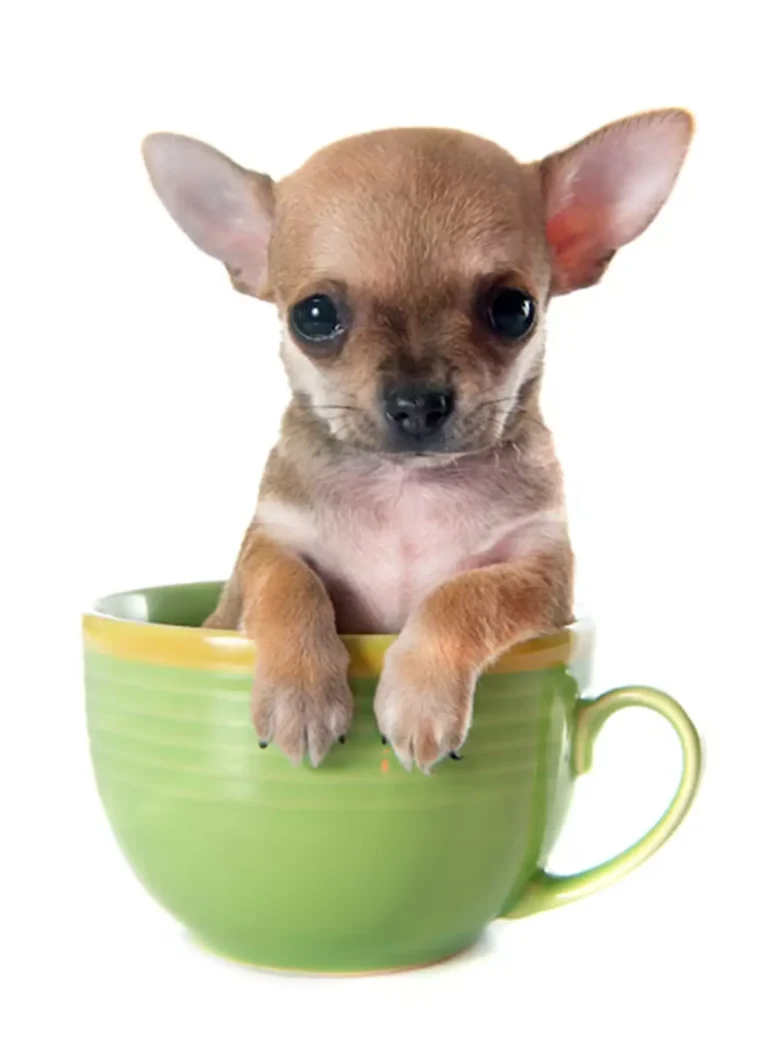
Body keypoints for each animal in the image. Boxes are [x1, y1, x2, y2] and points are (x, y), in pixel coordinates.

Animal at [142, 110, 692, 773]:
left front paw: (419, 701)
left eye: (514, 310)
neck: (408, 488)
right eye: (314, 316)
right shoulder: (266, 545)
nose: (417, 403)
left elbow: (467, 594)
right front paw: (300, 694)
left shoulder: (542, 575)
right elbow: (287, 584)